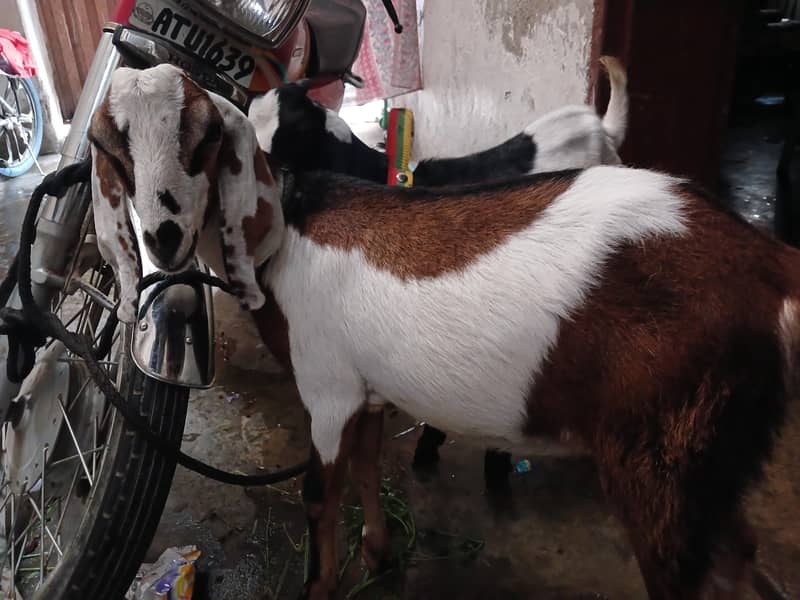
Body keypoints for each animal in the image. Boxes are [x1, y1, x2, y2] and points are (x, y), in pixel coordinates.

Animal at [91, 65, 796, 600]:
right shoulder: (367, 392)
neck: (289, 231)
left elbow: (321, 494)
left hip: (663, 461)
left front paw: (322, 584)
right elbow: (369, 465)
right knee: (740, 557)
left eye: (206, 136)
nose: (164, 235)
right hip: (708, 465)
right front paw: (378, 554)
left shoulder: (327, 388)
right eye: (112, 148)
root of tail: (767, 267)